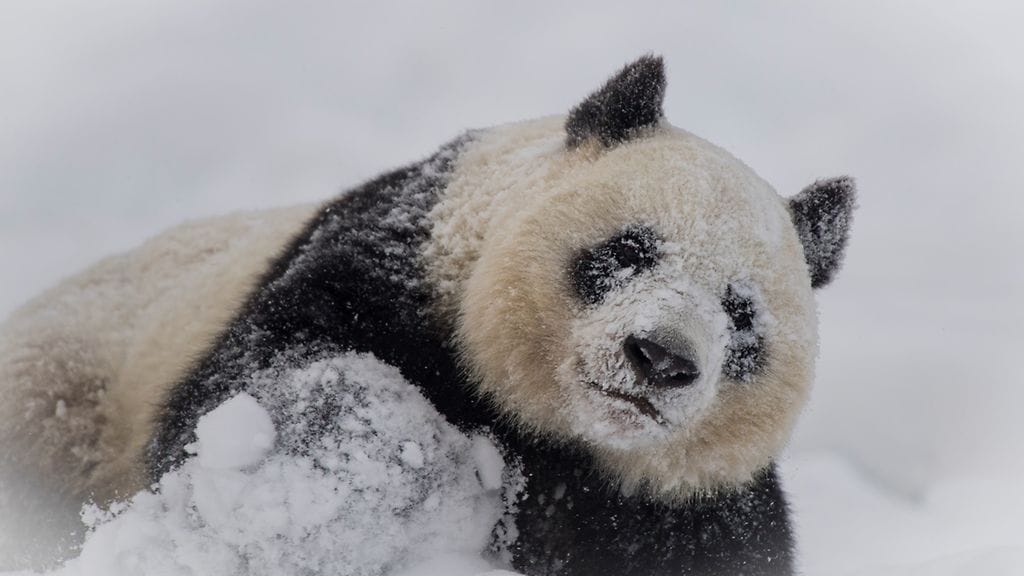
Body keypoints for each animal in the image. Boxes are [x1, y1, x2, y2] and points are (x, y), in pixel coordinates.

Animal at [0, 55, 856, 575]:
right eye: (628, 250)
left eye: (741, 315)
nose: (661, 358)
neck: (547, 430)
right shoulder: (388, 266)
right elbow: (257, 396)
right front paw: (367, 478)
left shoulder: (684, 499)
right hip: (64, 390)